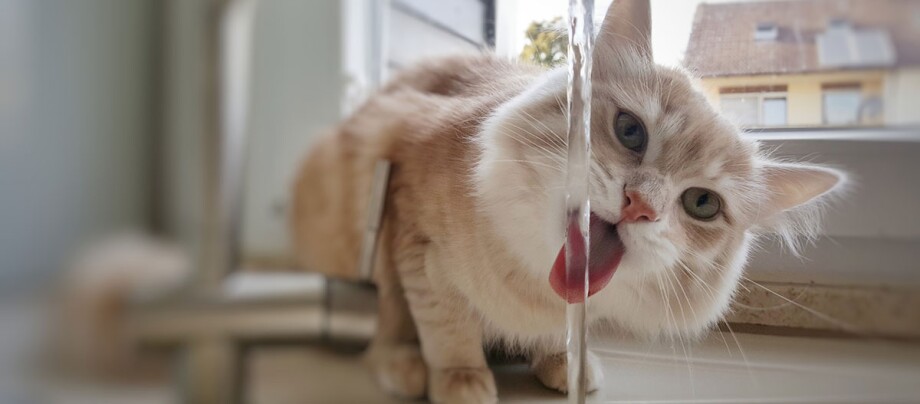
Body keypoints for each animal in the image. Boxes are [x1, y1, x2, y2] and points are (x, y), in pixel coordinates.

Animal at [292, 1, 844, 402]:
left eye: (703, 204)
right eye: (630, 131)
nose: (639, 204)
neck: (532, 285)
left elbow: (557, 337)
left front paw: (562, 363)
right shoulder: (406, 222)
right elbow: (439, 322)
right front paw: (459, 378)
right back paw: (402, 364)